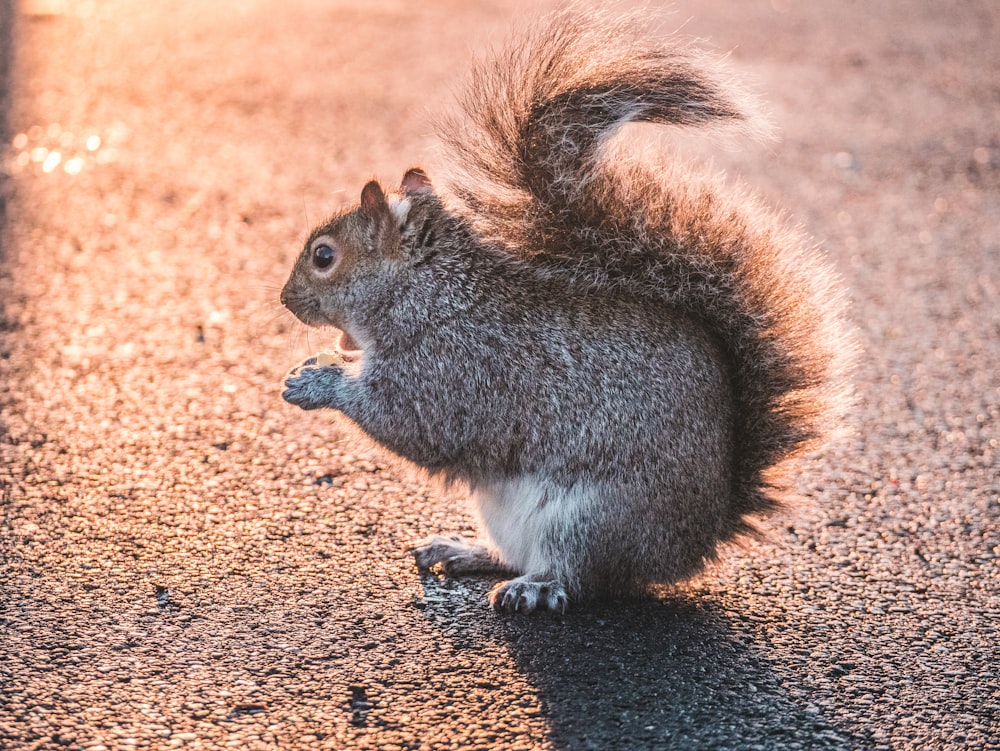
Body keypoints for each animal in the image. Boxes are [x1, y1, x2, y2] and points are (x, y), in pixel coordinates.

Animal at [280, 8, 852, 612]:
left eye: (323, 256)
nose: (284, 300)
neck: (435, 294)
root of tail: (699, 538)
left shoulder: (456, 370)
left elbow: (412, 421)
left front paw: (317, 383)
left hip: (593, 517)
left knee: (580, 575)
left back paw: (536, 586)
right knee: (514, 553)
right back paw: (464, 550)